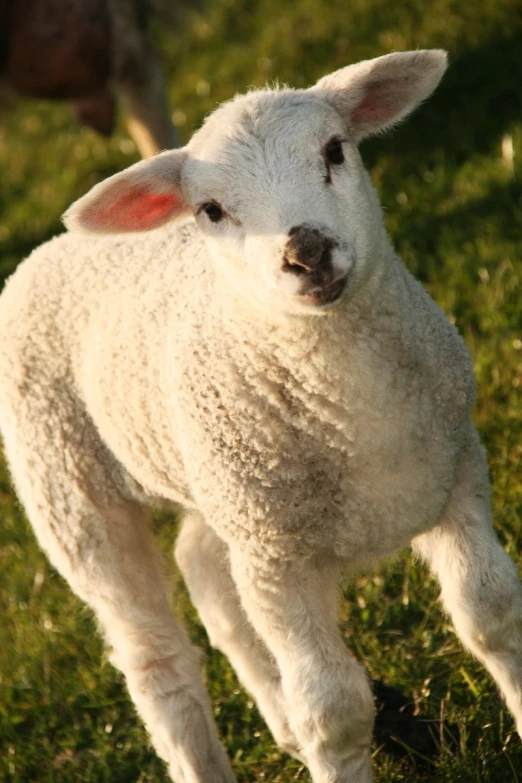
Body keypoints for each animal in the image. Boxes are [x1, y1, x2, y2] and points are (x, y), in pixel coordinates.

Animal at [1, 50, 520, 783]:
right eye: (212, 210)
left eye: (334, 150)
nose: (307, 251)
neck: (352, 406)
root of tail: (48, 248)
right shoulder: (278, 564)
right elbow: (334, 709)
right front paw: (328, 742)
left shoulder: (460, 473)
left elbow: (491, 614)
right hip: (67, 486)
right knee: (154, 659)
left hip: (220, 490)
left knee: (204, 570)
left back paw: (277, 718)